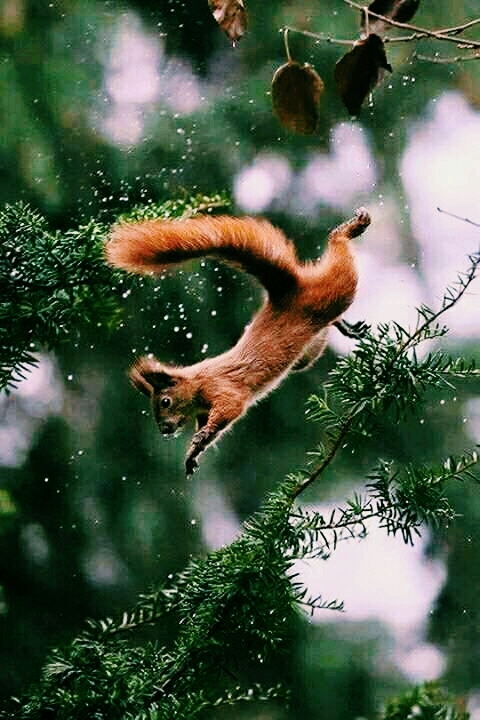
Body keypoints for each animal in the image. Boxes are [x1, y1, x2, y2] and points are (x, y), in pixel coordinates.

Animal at [105, 208, 370, 474]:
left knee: (341, 263)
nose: (164, 430)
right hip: (307, 349)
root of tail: (287, 292)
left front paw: (201, 437)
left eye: (165, 401)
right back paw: (345, 327)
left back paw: (349, 229)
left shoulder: (222, 388)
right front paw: (193, 453)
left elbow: (229, 409)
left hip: (332, 293)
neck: (197, 383)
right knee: (326, 328)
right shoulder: (202, 411)